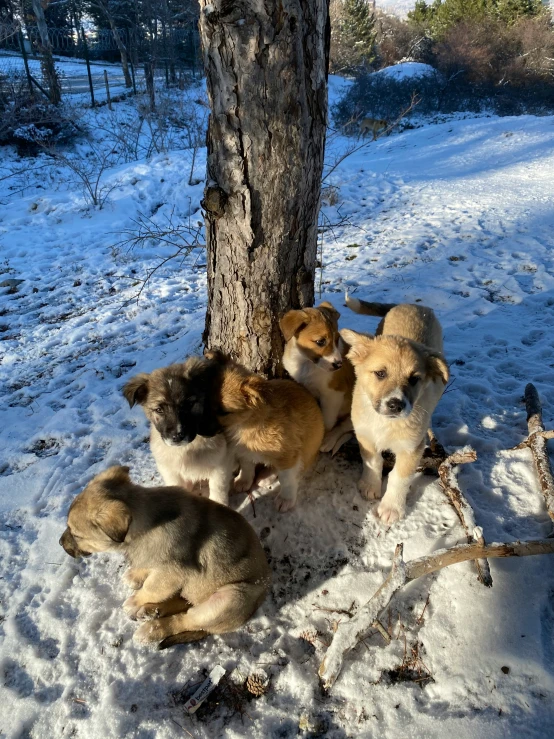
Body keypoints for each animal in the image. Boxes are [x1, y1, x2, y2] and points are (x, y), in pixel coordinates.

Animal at [58, 468, 270, 648]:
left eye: (76, 534)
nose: (60, 543)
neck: (147, 524)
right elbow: (149, 571)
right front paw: (136, 575)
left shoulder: (171, 575)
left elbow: (150, 588)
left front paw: (134, 600)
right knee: (185, 603)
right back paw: (152, 612)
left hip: (230, 598)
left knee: (186, 619)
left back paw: (151, 628)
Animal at [123, 358, 233, 508]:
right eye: (159, 410)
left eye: (189, 404)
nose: (177, 436)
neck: (187, 450)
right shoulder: (170, 472)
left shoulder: (221, 464)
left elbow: (218, 490)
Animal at [280, 302, 354, 454]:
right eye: (320, 341)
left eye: (337, 339)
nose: (339, 364)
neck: (307, 363)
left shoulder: (333, 395)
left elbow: (327, 422)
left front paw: (322, 437)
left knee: (345, 426)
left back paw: (329, 441)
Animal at [340, 296, 448, 528]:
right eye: (380, 373)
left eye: (414, 379)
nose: (396, 405)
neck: (385, 422)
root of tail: (413, 304)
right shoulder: (365, 437)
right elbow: (373, 462)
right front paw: (370, 486)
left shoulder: (411, 448)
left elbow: (399, 478)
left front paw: (391, 509)